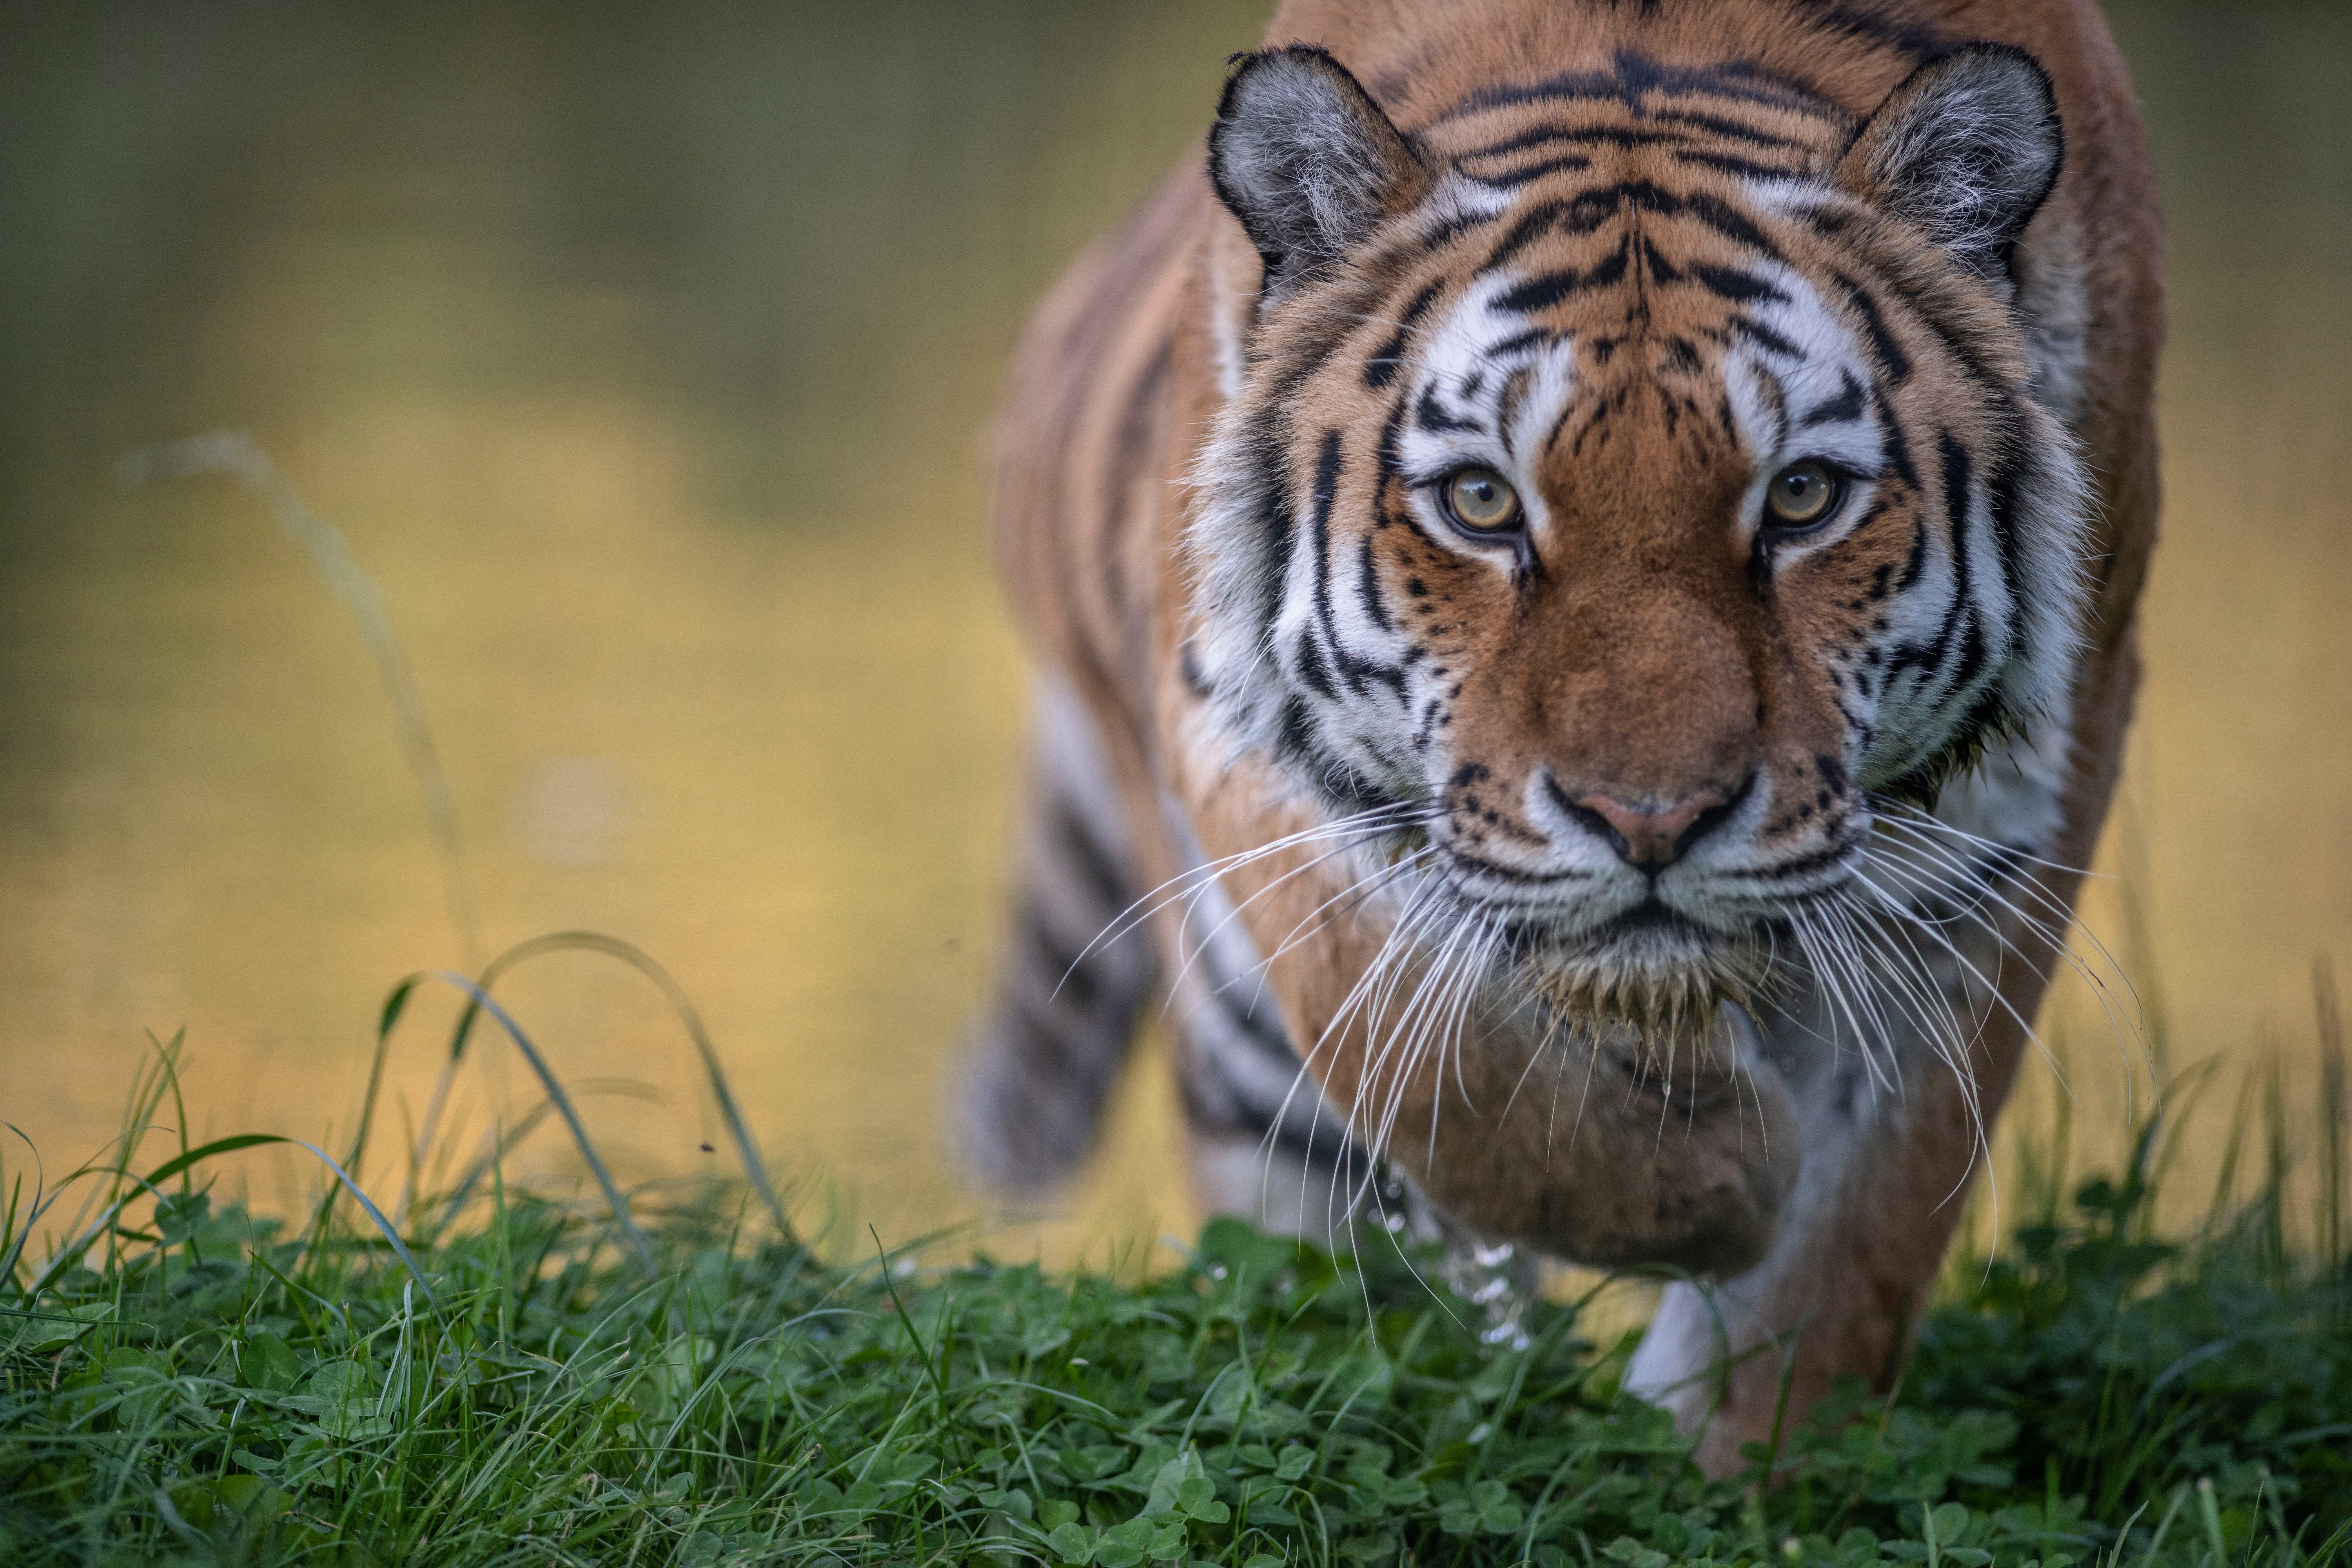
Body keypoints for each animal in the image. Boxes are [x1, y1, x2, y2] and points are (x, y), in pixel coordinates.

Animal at [957, 0, 2159, 1472]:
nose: (1652, 823)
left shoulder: (2012, 814)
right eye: (1481, 502)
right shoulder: (1240, 740)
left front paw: (1735, 1463)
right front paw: (1714, 1181)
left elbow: (1852, 1241)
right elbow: (1442, 1064)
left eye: (1803, 498)